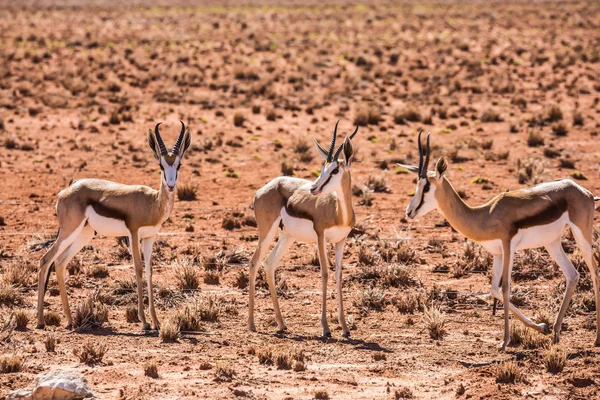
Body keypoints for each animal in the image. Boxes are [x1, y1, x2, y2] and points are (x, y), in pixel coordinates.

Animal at [36, 121, 191, 332]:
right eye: (161, 165)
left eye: (179, 164)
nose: (171, 185)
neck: (152, 203)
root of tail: (67, 189)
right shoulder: (133, 233)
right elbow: (138, 269)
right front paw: (144, 322)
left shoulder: (150, 237)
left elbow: (150, 271)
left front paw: (156, 322)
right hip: (69, 231)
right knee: (45, 260)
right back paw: (41, 321)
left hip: (84, 235)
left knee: (59, 262)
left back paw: (69, 320)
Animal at [247, 120, 356, 336]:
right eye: (322, 168)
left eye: (335, 170)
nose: (313, 188)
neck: (338, 212)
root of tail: (263, 189)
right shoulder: (321, 237)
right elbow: (325, 273)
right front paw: (325, 328)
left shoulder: (341, 241)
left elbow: (339, 274)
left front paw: (345, 328)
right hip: (267, 232)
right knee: (255, 262)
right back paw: (252, 324)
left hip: (286, 237)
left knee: (269, 263)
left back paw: (281, 324)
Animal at [398, 133, 600, 348]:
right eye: (416, 185)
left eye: (427, 186)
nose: (409, 212)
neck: (485, 214)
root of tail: (584, 191)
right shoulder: (497, 253)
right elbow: (494, 289)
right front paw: (541, 327)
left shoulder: (508, 246)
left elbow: (505, 288)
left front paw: (505, 341)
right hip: (552, 243)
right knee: (573, 275)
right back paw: (555, 332)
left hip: (582, 235)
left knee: (594, 273)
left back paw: (596, 338)